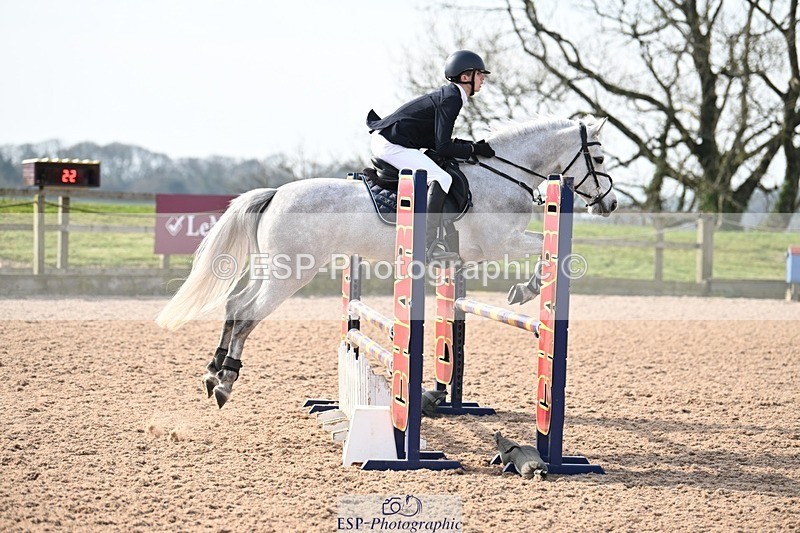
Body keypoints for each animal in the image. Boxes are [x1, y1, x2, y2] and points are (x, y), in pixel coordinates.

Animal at [155, 115, 618, 408]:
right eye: (600, 158)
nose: (609, 204)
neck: (500, 176)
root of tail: (276, 194)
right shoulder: (499, 243)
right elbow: (552, 252)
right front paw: (527, 289)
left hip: (276, 269)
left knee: (236, 305)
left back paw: (213, 373)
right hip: (292, 272)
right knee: (249, 313)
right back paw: (226, 381)